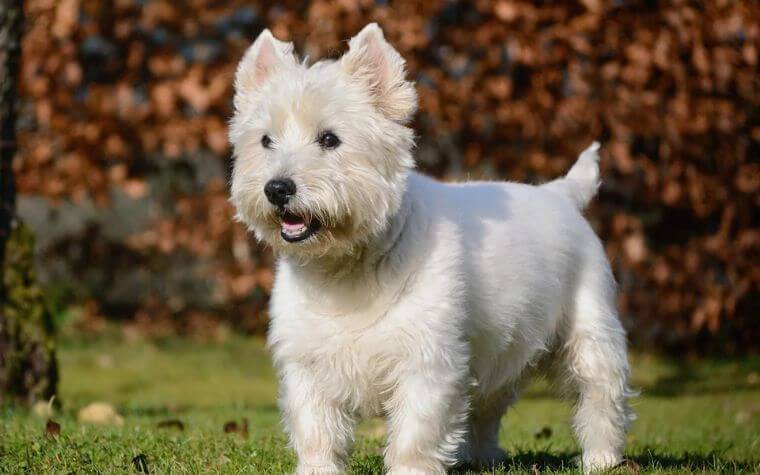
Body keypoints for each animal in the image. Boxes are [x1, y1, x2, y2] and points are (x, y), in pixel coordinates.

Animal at [227, 24, 636, 475]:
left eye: (330, 139)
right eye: (266, 140)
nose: (277, 188)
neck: (345, 267)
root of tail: (560, 194)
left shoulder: (427, 359)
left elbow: (416, 430)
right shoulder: (307, 362)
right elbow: (316, 429)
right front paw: (318, 469)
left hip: (589, 326)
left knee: (600, 394)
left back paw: (601, 458)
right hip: (500, 347)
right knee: (487, 407)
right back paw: (482, 457)